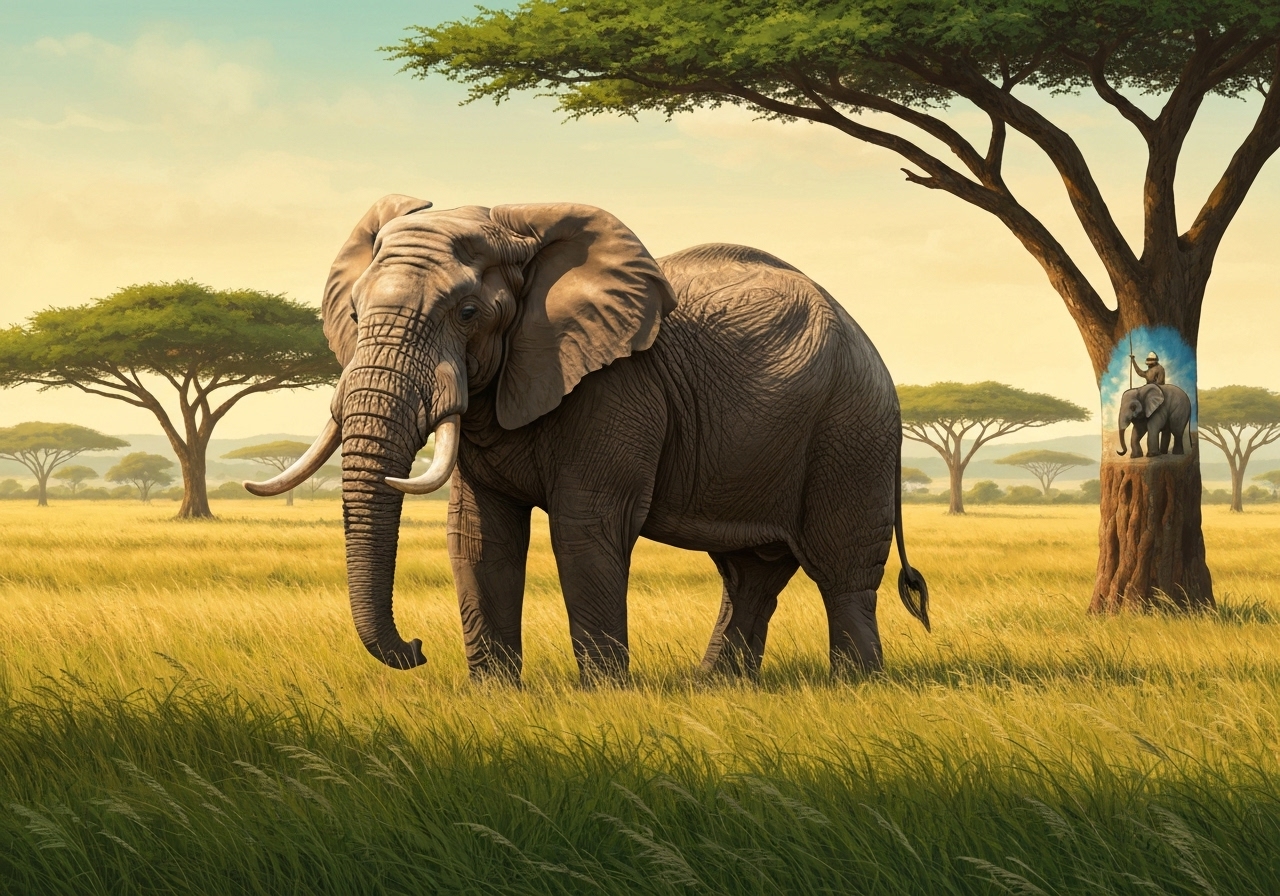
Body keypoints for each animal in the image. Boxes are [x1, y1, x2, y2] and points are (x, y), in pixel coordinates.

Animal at [246, 195, 929, 684]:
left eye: (467, 314)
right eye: (354, 315)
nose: (417, 647)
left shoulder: (616, 389)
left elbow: (585, 526)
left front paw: (605, 695)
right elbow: (479, 533)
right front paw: (494, 695)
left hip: (853, 425)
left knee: (841, 569)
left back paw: (854, 686)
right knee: (749, 574)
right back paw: (716, 685)